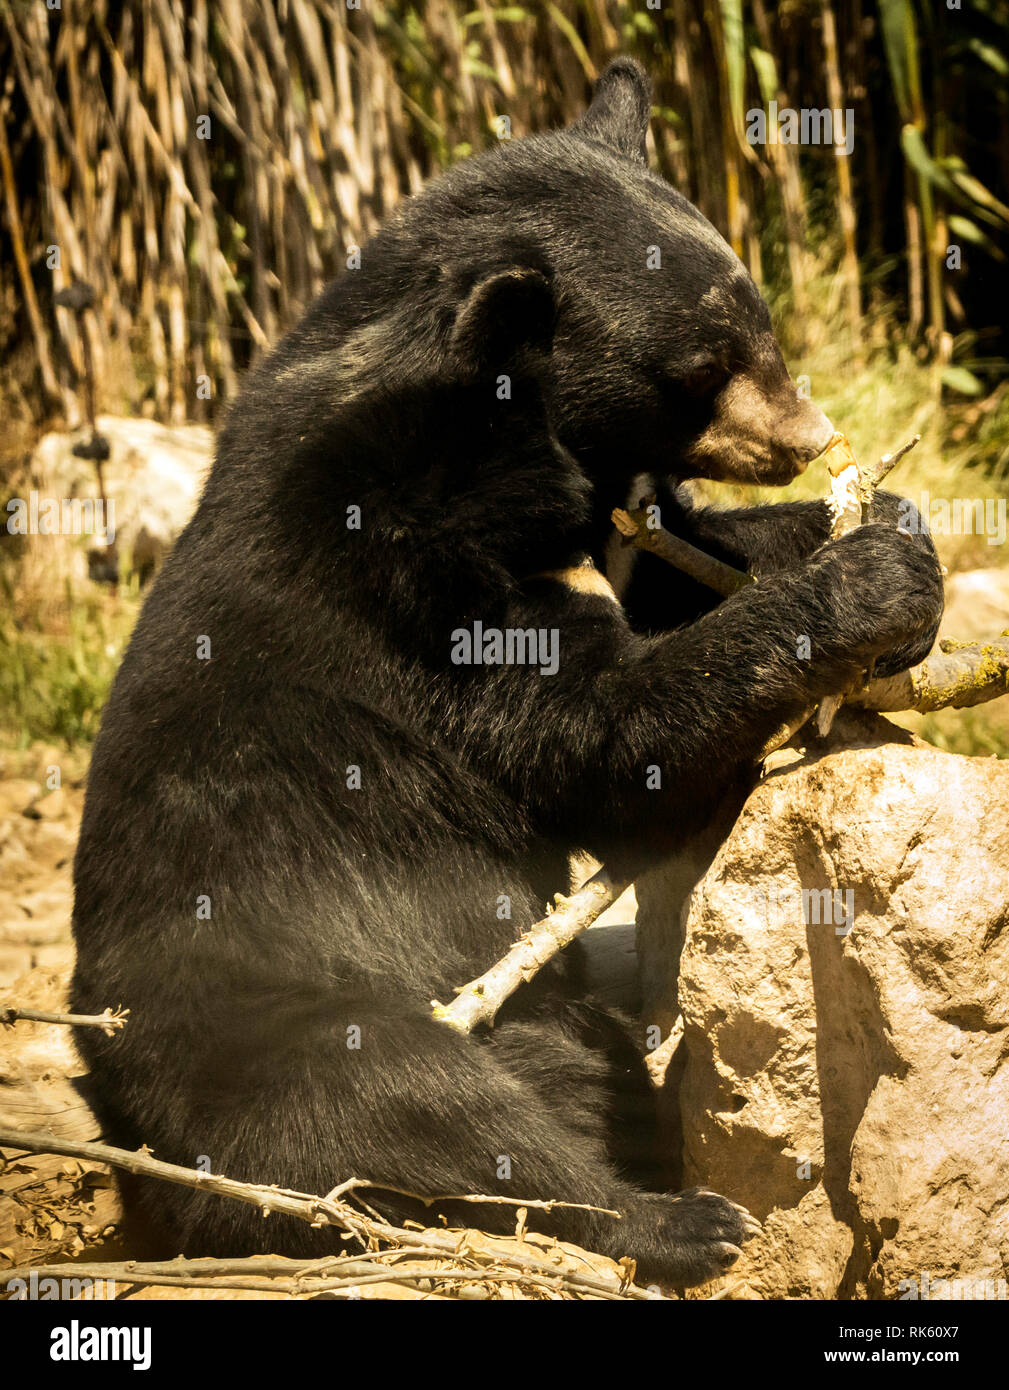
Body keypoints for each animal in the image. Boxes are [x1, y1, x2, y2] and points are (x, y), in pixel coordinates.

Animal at [72, 59, 950, 1284]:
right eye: (702, 366)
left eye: (761, 322)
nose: (806, 435)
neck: (502, 439)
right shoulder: (402, 579)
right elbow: (601, 737)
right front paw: (869, 579)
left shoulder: (593, 525)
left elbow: (679, 567)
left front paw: (889, 528)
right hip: (282, 1025)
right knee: (407, 1108)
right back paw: (679, 1218)